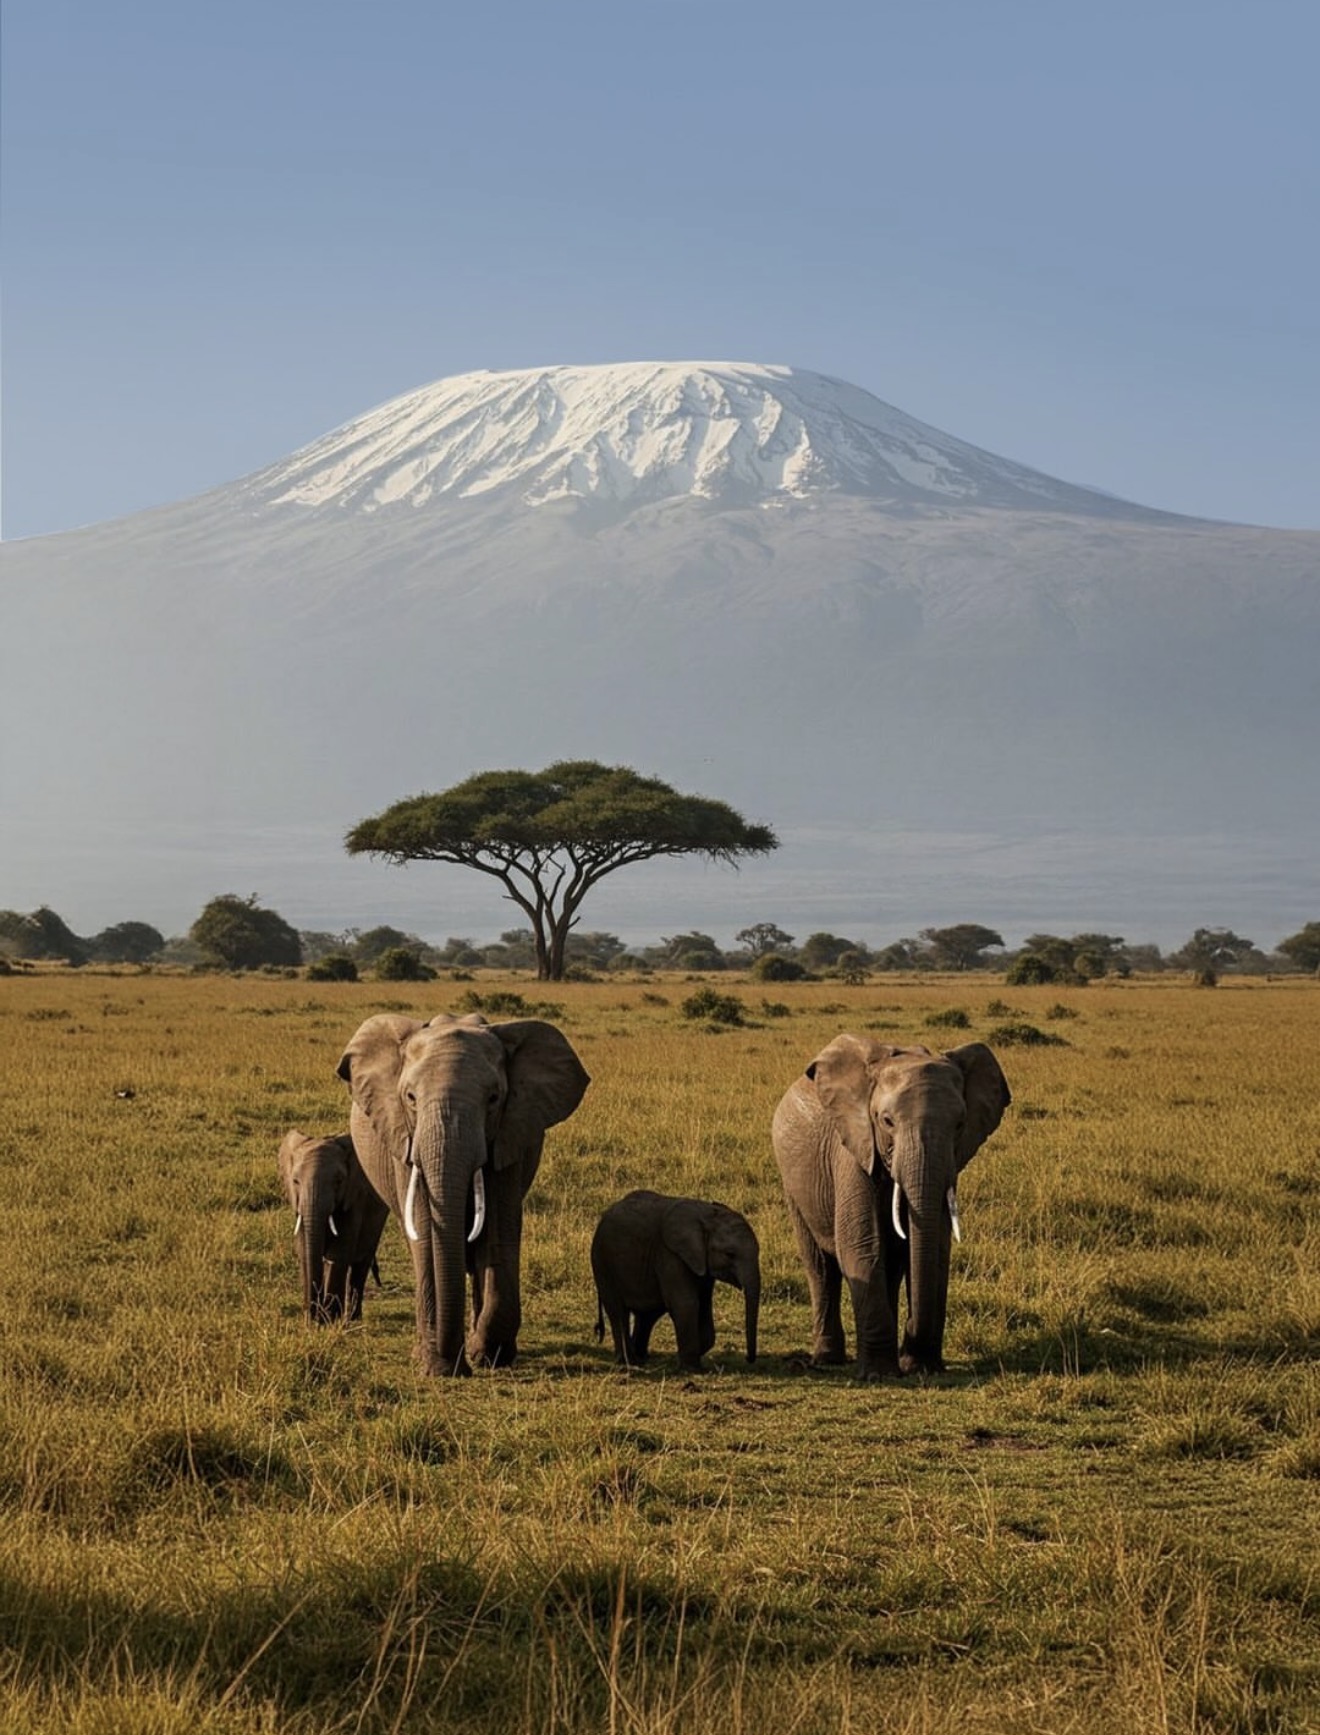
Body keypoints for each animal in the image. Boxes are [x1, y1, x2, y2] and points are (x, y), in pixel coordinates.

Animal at [276, 1129, 389, 1324]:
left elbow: (338, 1253)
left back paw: (353, 1319)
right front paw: (314, 1321)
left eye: (339, 1181)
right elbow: (305, 1251)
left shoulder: (354, 1198)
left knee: (361, 1264)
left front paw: (328, 1320)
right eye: (295, 1181)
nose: (312, 1316)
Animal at [336, 1012, 589, 1375]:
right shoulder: (403, 1139)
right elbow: (425, 1235)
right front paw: (437, 1365)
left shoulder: (511, 1134)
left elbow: (499, 1230)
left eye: (494, 1099)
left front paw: (487, 1355)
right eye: (410, 1098)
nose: (456, 1366)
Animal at [591, 1189, 761, 1371]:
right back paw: (629, 1362)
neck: (706, 1215)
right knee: (617, 1310)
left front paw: (685, 1360)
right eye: (730, 1254)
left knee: (648, 1315)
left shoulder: (701, 1264)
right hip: (602, 1262)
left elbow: (704, 1305)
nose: (748, 1358)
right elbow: (686, 1304)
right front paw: (690, 1368)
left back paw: (641, 1358)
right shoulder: (670, 1254)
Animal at [772, 1037, 1010, 1380]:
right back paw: (828, 1359)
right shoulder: (853, 1149)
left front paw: (920, 1366)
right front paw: (879, 1375)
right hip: (793, 1183)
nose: (915, 1360)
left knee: (893, 1265)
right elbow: (861, 1244)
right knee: (820, 1266)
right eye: (887, 1122)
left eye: (960, 1124)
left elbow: (937, 1250)